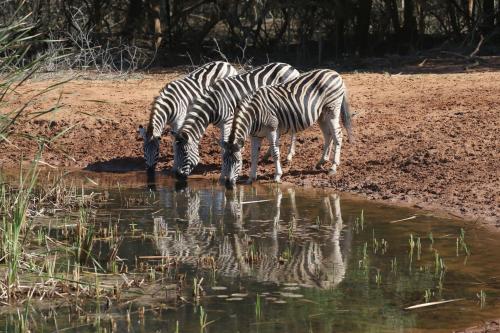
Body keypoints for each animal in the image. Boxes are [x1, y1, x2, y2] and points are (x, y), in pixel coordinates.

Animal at [221, 69, 354, 185]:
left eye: (238, 161)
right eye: (224, 161)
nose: (228, 184)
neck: (253, 115)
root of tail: (335, 73)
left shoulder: (272, 130)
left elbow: (275, 153)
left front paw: (277, 176)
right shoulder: (255, 135)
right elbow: (254, 155)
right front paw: (251, 178)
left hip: (332, 109)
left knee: (338, 135)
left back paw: (333, 167)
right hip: (322, 115)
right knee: (328, 134)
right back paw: (321, 162)